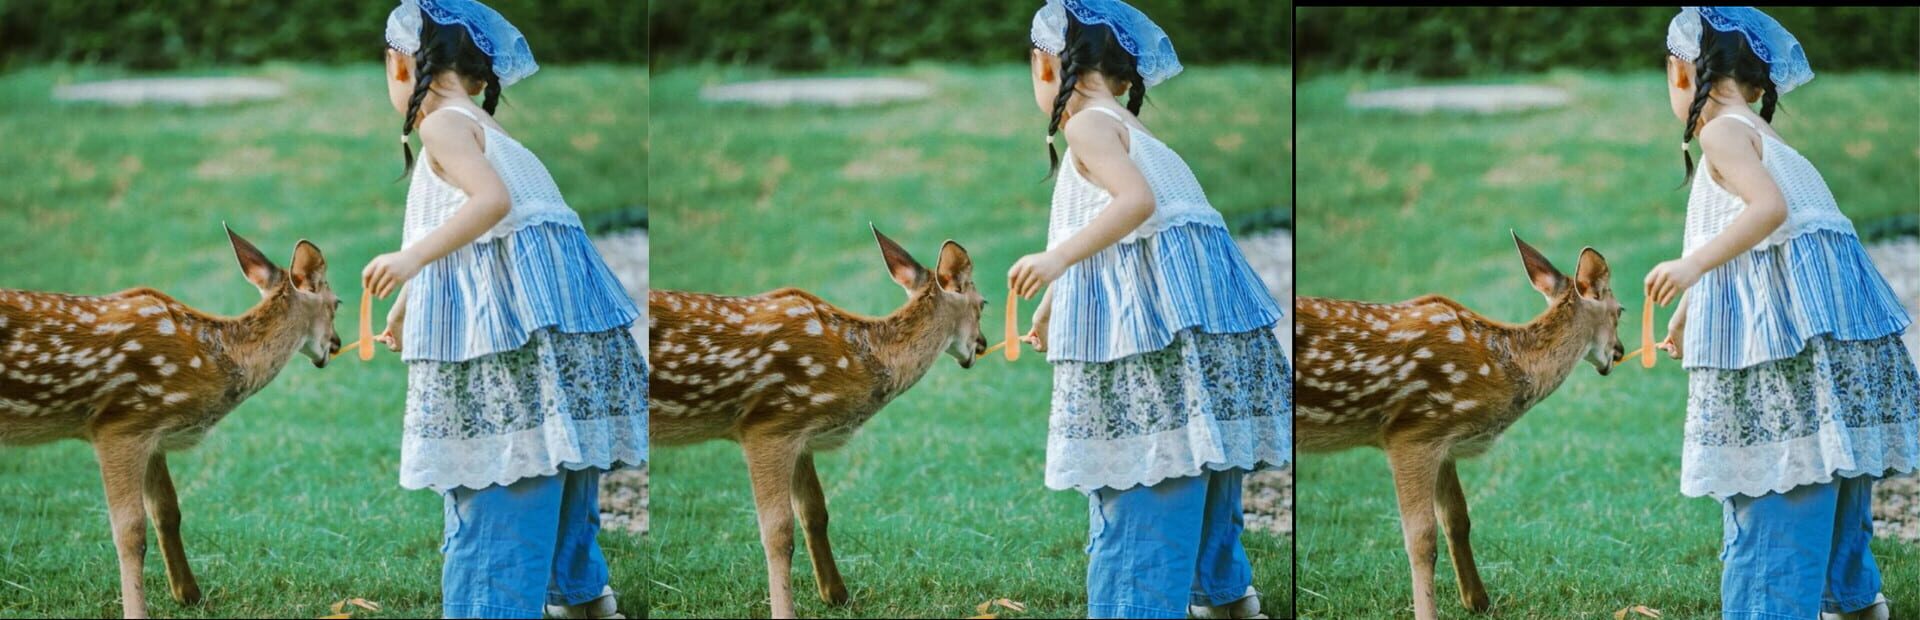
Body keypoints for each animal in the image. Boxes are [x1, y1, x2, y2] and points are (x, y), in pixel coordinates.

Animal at [0, 225, 341, 619]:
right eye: (338, 303)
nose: (336, 344)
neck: (212, 359)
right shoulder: (120, 424)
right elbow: (130, 530)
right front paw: (137, 611)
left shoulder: (153, 432)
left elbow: (167, 511)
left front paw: (190, 594)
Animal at [649, 226, 987, 619]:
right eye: (984, 303)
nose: (982, 345)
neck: (858, 359)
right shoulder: (769, 424)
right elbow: (778, 531)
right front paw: (785, 611)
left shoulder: (801, 433)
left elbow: (814, 512)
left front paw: (837, 594)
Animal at [1294, 233, 1623, 620]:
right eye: (1621, 311)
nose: (1619, 352)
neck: (1501, 366)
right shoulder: (1413, 431)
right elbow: (1421, 537)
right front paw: (1428, 612)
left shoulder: (1443, 440)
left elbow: (1457, 518)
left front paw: (1477, 601)